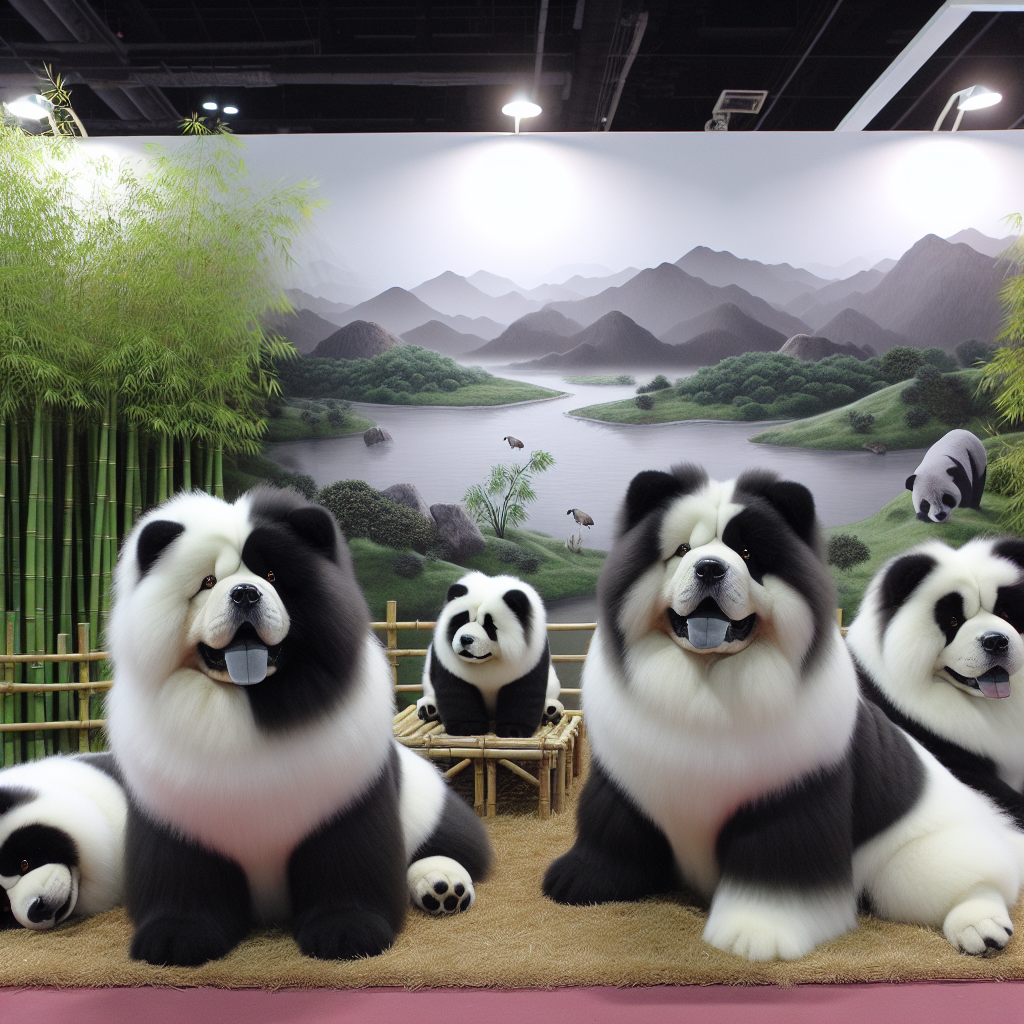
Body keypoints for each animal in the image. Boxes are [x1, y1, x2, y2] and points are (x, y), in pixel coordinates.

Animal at [105, 487, 489, 966]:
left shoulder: (344, 805)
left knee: (452, 845)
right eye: (207, 582)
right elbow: (183, 877)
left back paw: (444, 887)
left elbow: (345, 866)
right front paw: (175, 938)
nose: (245, 593)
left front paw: (347, 933)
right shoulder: (176, 815)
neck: (249, 702)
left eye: (273, 575)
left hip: (428, 800)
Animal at [413, 573, 565, 741]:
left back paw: (551, 710)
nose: (465, 639)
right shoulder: (447, 661)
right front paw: (466, 728)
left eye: (489, 625)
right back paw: (429, 709)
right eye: (462, 620)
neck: (487, 661)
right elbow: (457, 693)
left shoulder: (529, 659)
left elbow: (522, 694)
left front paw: (513, 731)